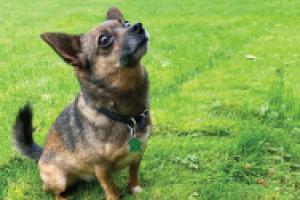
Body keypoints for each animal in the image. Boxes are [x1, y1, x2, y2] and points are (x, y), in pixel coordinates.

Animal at [12, 6, 151, 200]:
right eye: (104, 39)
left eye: (126, 23)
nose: (138, 26)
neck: (126, 116)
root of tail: (41, 154)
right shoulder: (101, 167)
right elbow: (111, 188)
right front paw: (116, 196)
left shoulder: (138, 153)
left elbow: (133, 171)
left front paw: (135, 188)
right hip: (58, 179)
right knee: (54, 193)